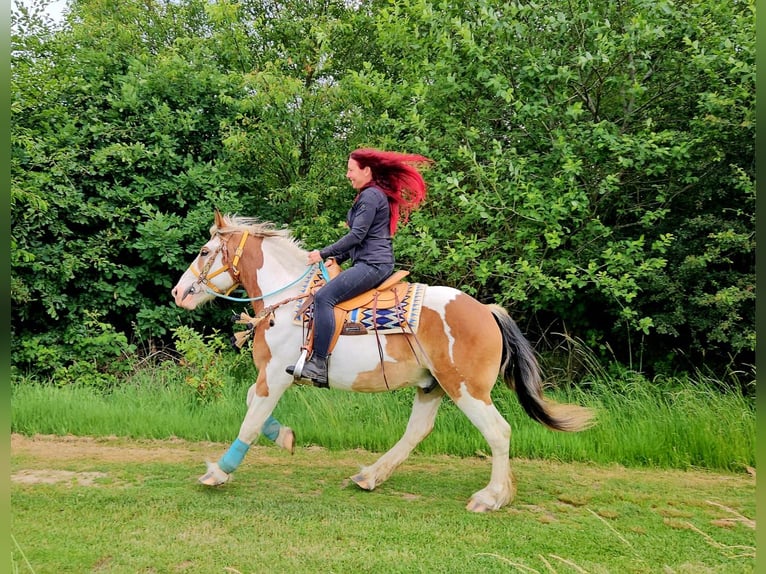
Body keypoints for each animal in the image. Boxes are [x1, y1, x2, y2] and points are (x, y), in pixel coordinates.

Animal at [171, 211, 594, 512]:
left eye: (205, 252)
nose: (178, 292)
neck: (290, 301)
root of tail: (487, 312)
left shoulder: (275, 375)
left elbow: (250, 420)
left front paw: (218, 473)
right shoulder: (270, 377)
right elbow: (253, 409)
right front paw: (286, 437)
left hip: (466, 389)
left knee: (498, 432)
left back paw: (490, 497)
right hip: (432, 386)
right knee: (417, 432)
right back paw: (371, 476)